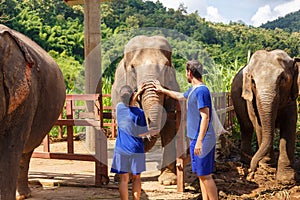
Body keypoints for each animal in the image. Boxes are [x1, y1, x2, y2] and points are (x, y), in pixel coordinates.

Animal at [231, 49, 298, 184]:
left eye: (282, 78)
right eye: (252, 81)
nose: (250, 174)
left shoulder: (291, 99)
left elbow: (290, 125)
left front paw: (286, 180)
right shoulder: (251, 100)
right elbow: (258, 124)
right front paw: (267, 166)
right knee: (247, 128)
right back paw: (246, 160)